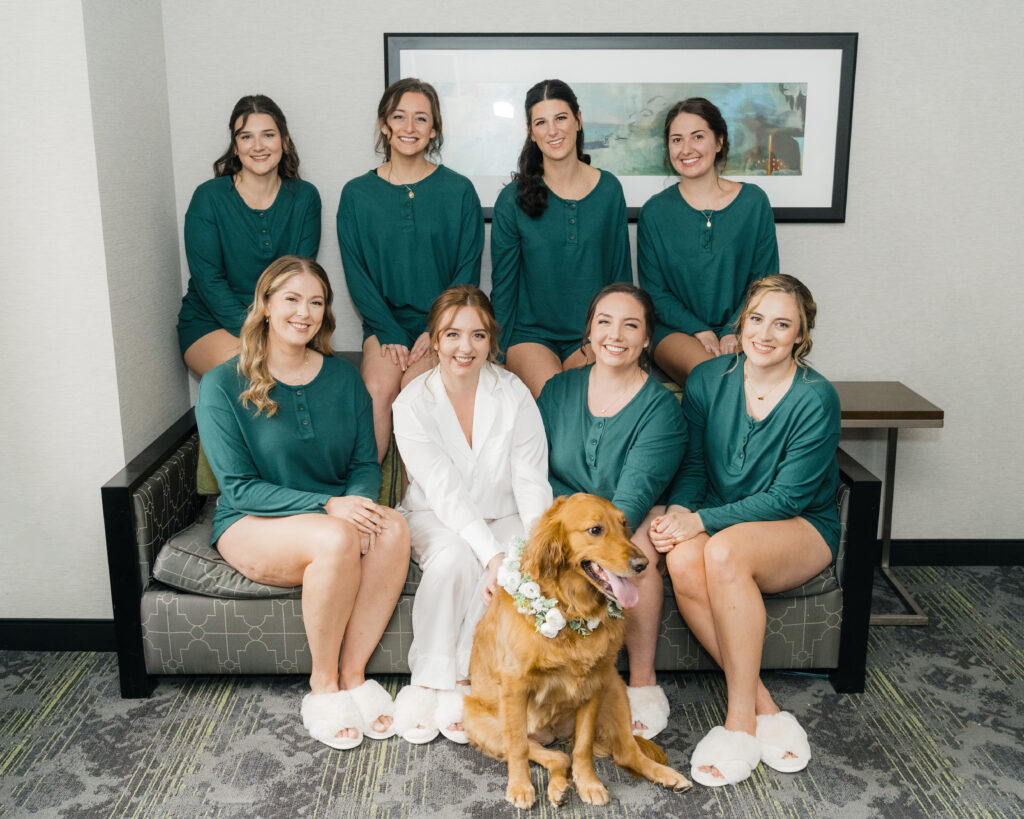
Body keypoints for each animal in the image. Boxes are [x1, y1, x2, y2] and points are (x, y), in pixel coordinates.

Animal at [466, 493, 696, 806]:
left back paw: (666, 775)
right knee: (553, 755)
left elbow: (583, 745)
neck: (570, 609)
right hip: (481, 723)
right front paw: (520, 786)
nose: (643, 563)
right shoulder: (514, 686)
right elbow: (518, 747)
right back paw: (558, 787)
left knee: (623, 752)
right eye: (595, 530)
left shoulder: (594, 683)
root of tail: (552, 733)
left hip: (615, 688)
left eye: (624, 525)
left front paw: (588, 782)